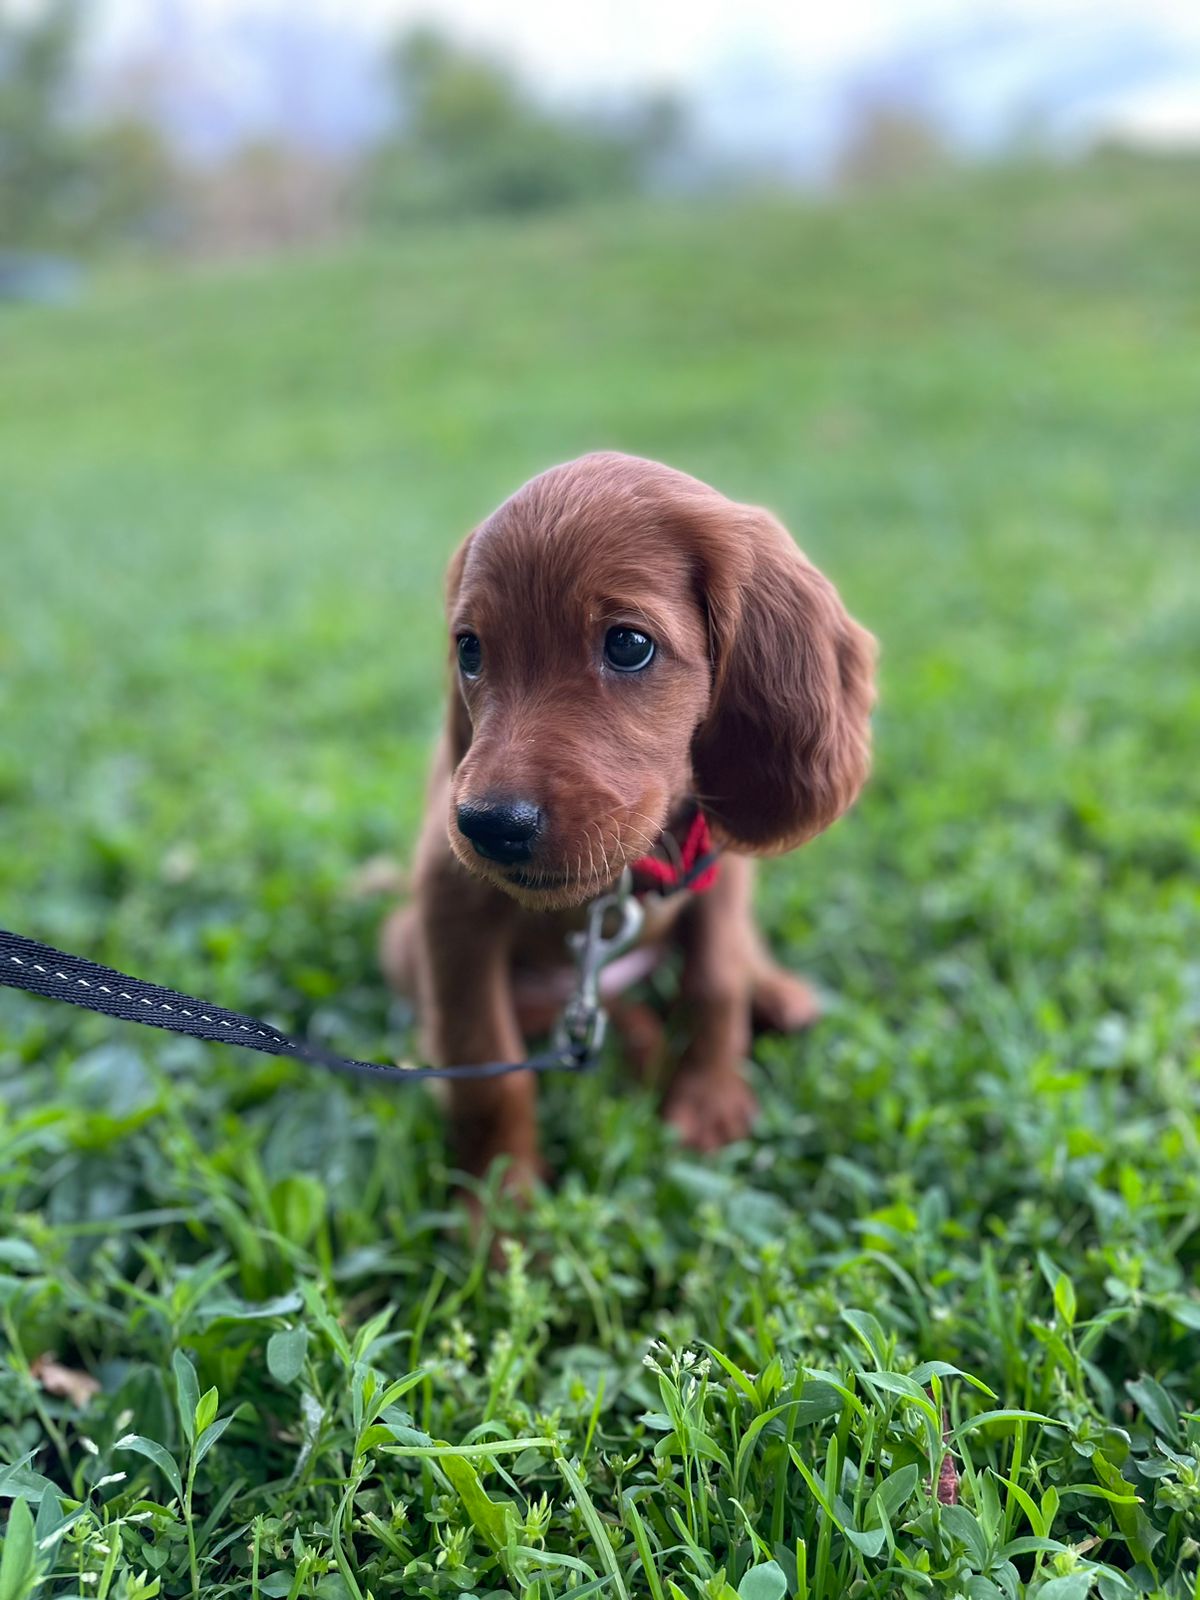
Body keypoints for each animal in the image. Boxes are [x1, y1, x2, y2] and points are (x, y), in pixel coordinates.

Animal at [382, 452, 875, 1189]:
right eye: (469, 650)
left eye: (628, 644)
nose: (489, 825)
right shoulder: (450, 909)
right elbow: (487, 1067)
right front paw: (501, 1200)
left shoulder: (720, 868)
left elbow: (716, 981)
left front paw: (710, 1101)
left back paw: (773, 995)